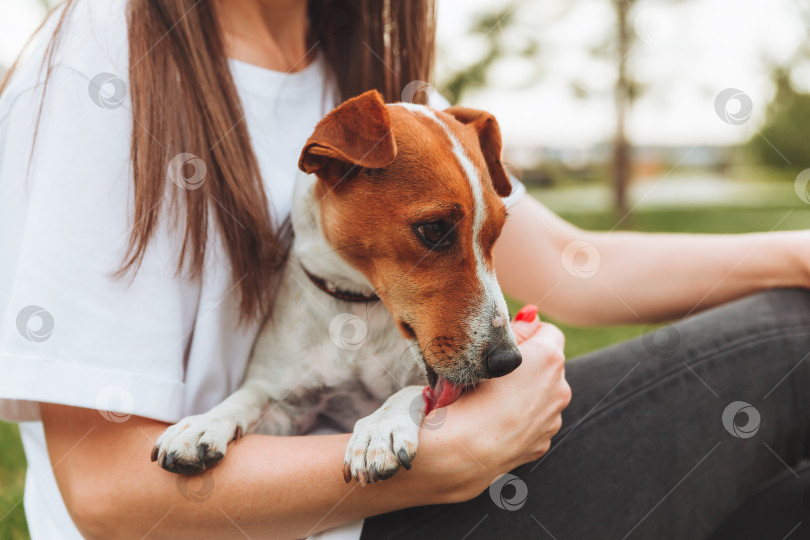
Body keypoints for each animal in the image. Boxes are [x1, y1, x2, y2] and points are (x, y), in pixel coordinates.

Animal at [149, 89, 520, 486]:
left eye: (497, 233)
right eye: (434, 230)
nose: (508, 361)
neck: (355, 306)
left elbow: (411, 389)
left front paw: (379, 427)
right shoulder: (292, 410)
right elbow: (249, 396)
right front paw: (204, 422)